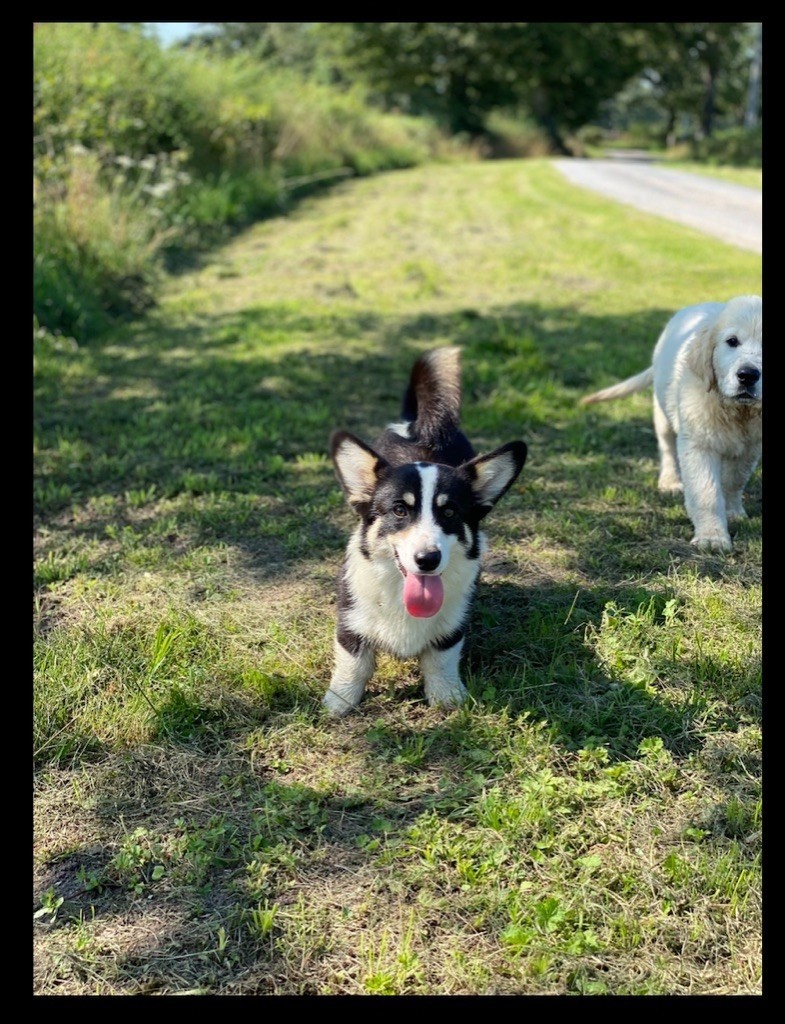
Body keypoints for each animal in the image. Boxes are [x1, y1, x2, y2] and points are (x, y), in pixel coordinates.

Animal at [325, 348, 528, 716]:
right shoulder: (351, 623)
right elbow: (353, 662)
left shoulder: (451, 629)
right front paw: (340, 701)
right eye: (399, 510)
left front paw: (447, 696)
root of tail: (418, 425)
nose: (428, 559)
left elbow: (442, 659)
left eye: (449, 513)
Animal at [577, 296, 761, 552]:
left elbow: (734, 480)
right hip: (663, 412)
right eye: (732, 342)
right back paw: (670, 481)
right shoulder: (698, 442)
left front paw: (733, 512)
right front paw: (712, 537)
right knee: (667, 448)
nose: (748, 375)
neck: (737, 411)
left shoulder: (750, 446)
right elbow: (706, 491)